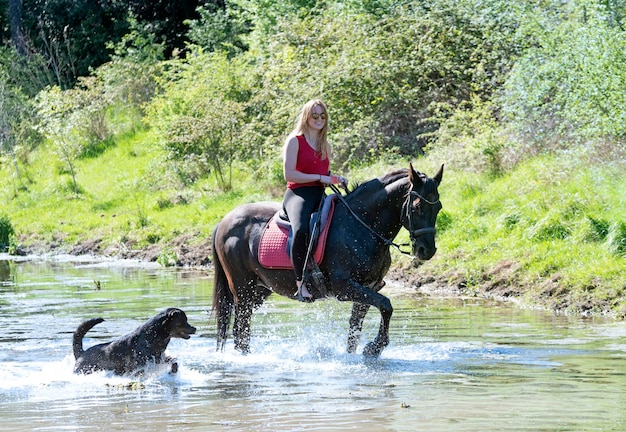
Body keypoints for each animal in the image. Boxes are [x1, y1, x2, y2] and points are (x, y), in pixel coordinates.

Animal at [212, 164, 442, 356]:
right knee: (241, 329)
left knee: (241, 329)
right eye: (417, 207)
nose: (427, 250)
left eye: (438, 207)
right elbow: (386, 306)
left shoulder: (369, 287)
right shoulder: (345, 288)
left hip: (259, 290)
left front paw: (358, 354)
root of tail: (224, 221)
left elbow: (355, 329)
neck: (361, 226)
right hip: (243, 289)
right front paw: (375, 347)